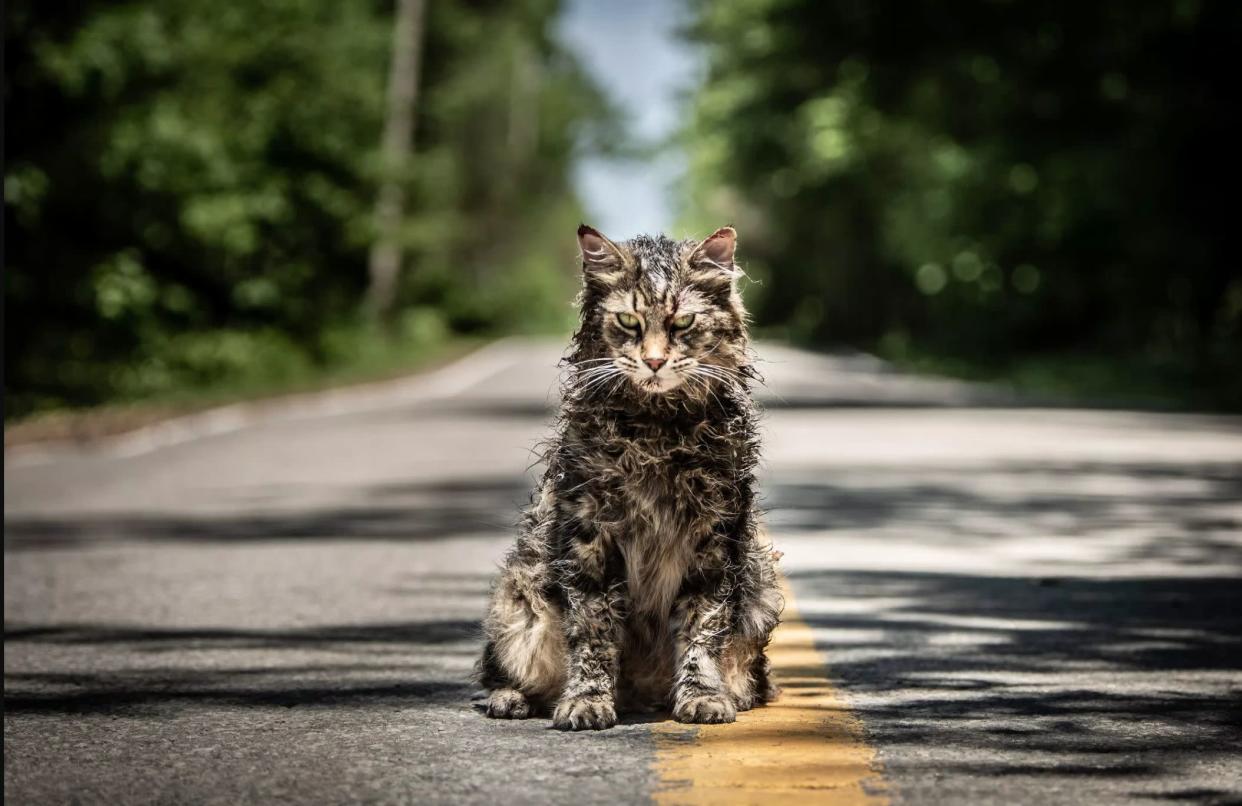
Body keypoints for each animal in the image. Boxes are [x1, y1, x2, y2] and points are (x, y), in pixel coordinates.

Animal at [476, 221, 784, 730]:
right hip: (518, 599)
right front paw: (587, 701)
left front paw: (702, 695)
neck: (657, 432)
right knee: (503, 671)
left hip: (760, 588)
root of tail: (640, 696)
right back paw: (512, 698)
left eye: (683, 324)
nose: (655, 361)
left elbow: (702, 628)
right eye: (627, 322)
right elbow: (594, 631)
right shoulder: (590, 537)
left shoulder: (715, 537)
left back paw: (729, 694)